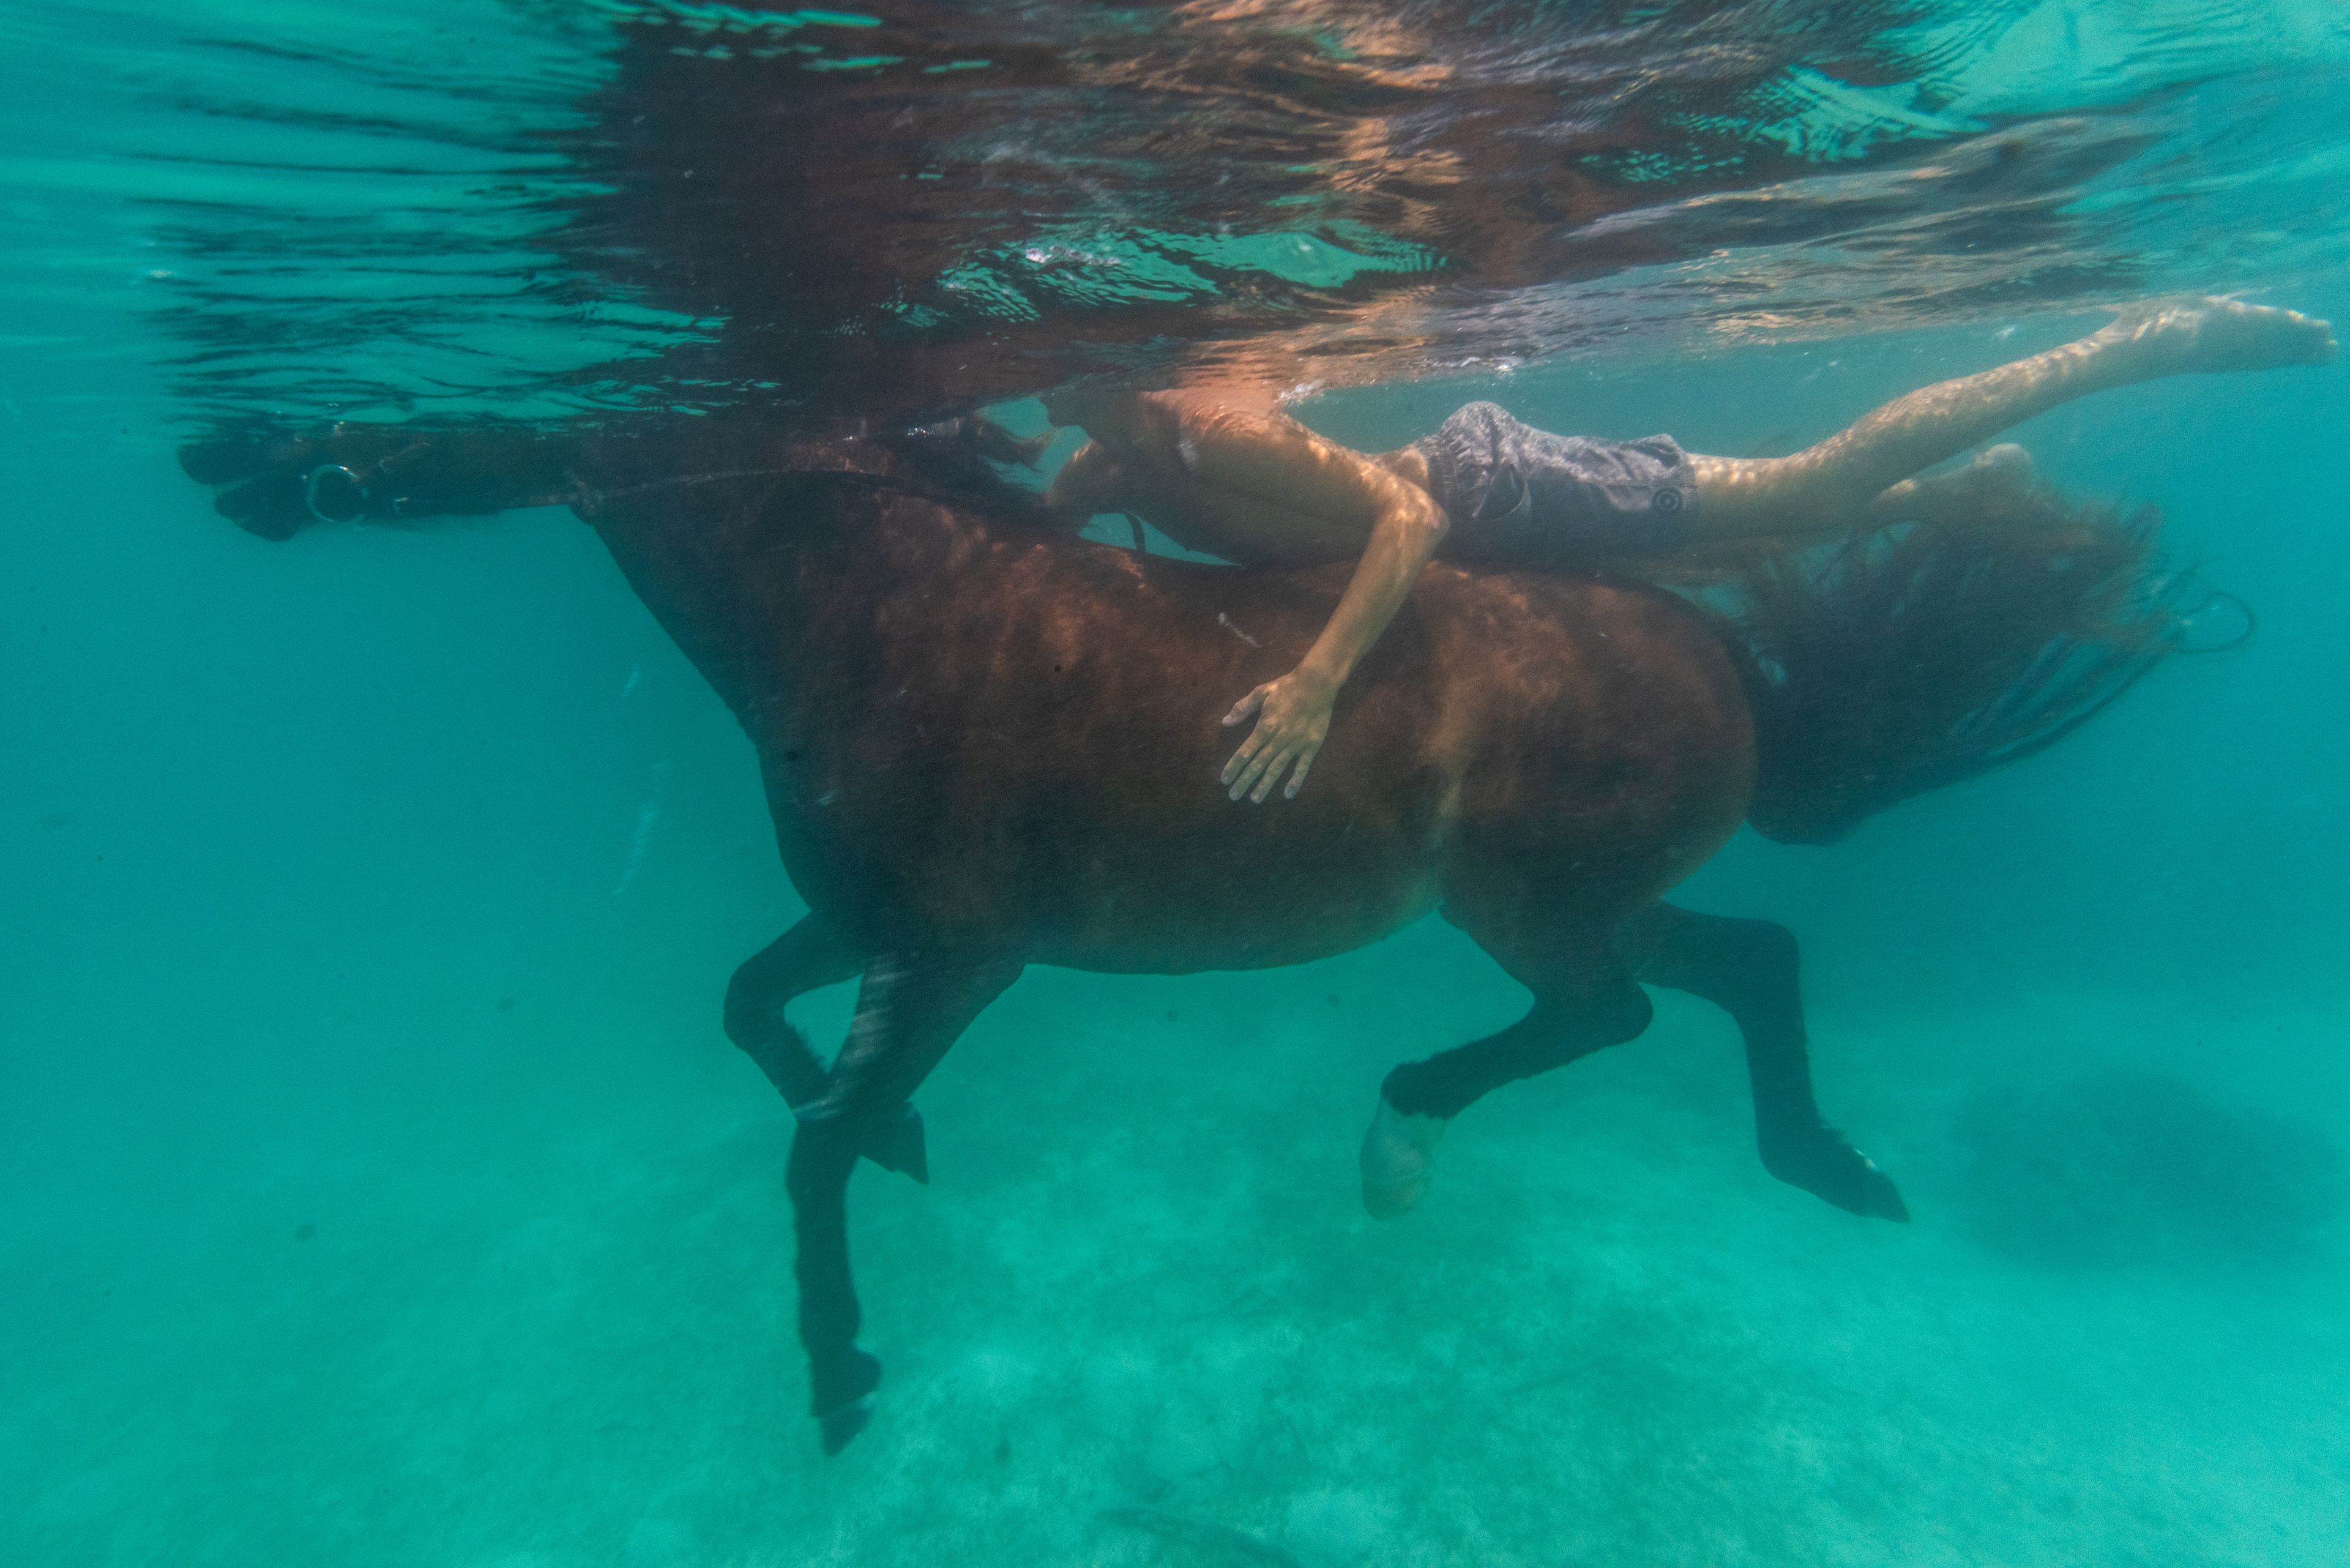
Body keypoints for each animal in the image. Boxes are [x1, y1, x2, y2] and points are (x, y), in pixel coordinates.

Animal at [182, 418, 2188, 1451]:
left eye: (416, 413)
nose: (238, 457)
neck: (861, 603)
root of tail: (1727, 661)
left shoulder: (961, 951)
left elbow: (808, 1141)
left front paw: (839, 1368)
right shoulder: (865, 926)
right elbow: (750, 1011)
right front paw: (908, 1154)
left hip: (1523, 898)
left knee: (1611, 1012)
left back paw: (1399, 1130)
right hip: (1566, 888)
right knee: (1742, 962)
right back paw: (1830, 1168)